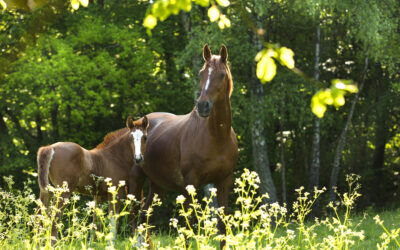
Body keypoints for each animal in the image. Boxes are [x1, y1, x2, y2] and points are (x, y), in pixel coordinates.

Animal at [131, 44, 238, 246]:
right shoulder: (190, 184)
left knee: (144, 216)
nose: (203, 106)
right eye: (201, 73)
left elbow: (222, 226)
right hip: (136, 179)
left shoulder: (224, 182)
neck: (217, 137)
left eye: (221, 74)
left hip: (157, 185)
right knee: (135, 218)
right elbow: (188, 227)